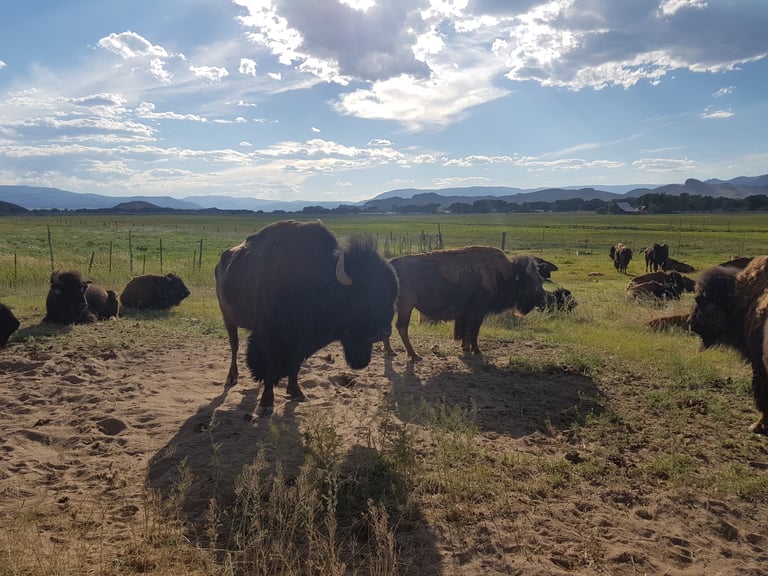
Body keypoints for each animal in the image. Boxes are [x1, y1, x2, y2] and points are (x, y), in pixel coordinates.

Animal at [215, 220, 398, 415]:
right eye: (360, 300)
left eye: (392, 298)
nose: (384, 332)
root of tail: (221, 263)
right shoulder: (268, 337)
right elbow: (269, 367)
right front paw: (266, 404)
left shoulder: (299, 343)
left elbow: (294, 366)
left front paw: (298, 393)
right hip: (228, 318)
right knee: (234, 346)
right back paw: (232, 378)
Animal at [382, 247, 545, 361]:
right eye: (531, 282)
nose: (542, 299)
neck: (504, 274)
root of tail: (391, 266)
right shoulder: (478, 312)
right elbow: (473, 332)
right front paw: (476, 350)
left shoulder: (468, 314)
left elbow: (466, 331)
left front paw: (465, 348)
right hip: (406, 306)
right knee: (402, 327)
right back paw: (414, 355)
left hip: (393, 307)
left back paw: (390, 351)